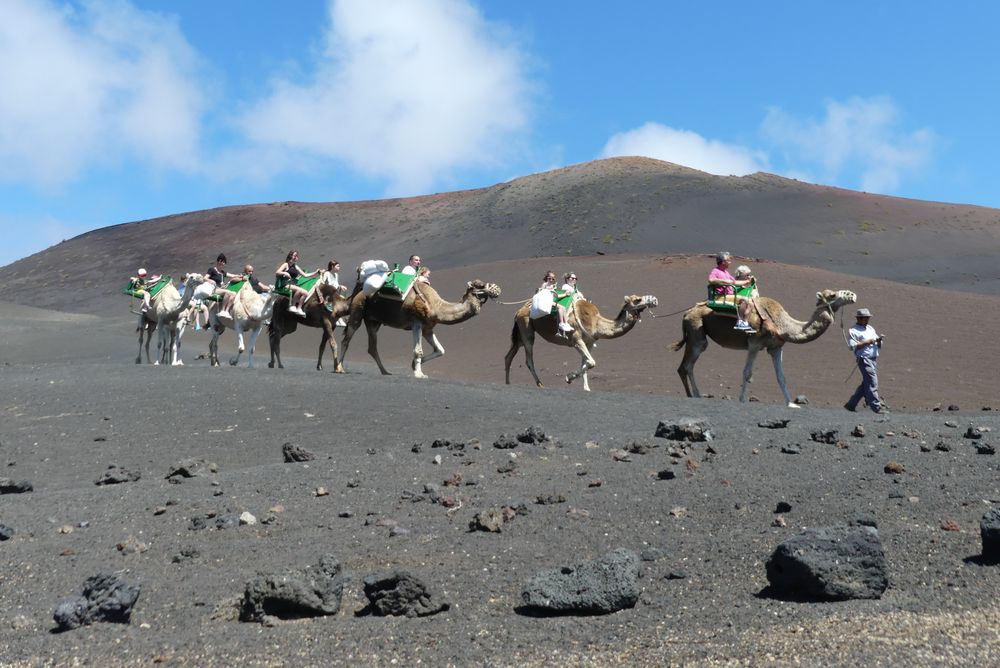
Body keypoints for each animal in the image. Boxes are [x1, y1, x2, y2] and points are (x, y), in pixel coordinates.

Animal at [340, 280, 504, 378]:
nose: (498, 289)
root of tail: (358, 291)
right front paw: (419, 374)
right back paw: (340, 368)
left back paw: (385, 371)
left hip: (373, 321)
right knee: (346, 340)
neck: (437, 307)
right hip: (357, 311)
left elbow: (440, 350)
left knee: (372, 347)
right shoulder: (416, 322)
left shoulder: (427, 328)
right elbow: (418, 350)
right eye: (480, 286)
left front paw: (414, 366)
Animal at [504, 294, 660, 392]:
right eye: (638, 299)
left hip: (520, 334)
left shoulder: (589, 343)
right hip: (527, 329)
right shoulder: (577, 340)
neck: (596, 323)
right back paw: (540, 384)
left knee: (509, 356)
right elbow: (591, 362)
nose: (655, 299)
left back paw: (507, 383)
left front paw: (586, 388)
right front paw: (568, 377)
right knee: (528, 359)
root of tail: (519, 310)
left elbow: (586, 363)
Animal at [676, 288, 856, 408]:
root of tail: (686, 313)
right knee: (687, 365)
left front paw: (791, 404)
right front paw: (742, 400)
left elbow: (781, 376)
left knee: (685, 366)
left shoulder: (776, 348)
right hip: (696, 333)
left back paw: (694, 394)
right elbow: (747, 372)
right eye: (833, 295)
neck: (783, 325)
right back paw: (695, 395)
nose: (852, 295)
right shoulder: (754, 344)